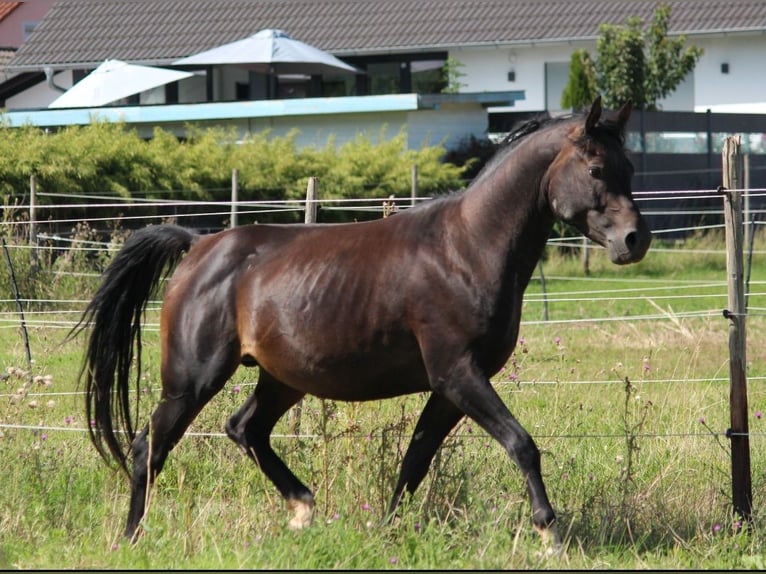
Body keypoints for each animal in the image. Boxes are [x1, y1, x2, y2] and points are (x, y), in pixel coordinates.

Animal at [73, 97, 651, 548]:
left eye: (629, 170)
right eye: (596, 170)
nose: (634, 240)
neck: (466, 248)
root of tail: (197, 246)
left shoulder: (450, 388)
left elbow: (415, 460)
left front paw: (389, 530)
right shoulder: (458, 375)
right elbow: (521, 443)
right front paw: (548, 531)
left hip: (282, 379)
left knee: (245, 429)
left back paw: (303, 509)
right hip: (192, 381)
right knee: (150, 447)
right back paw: (131, 538)